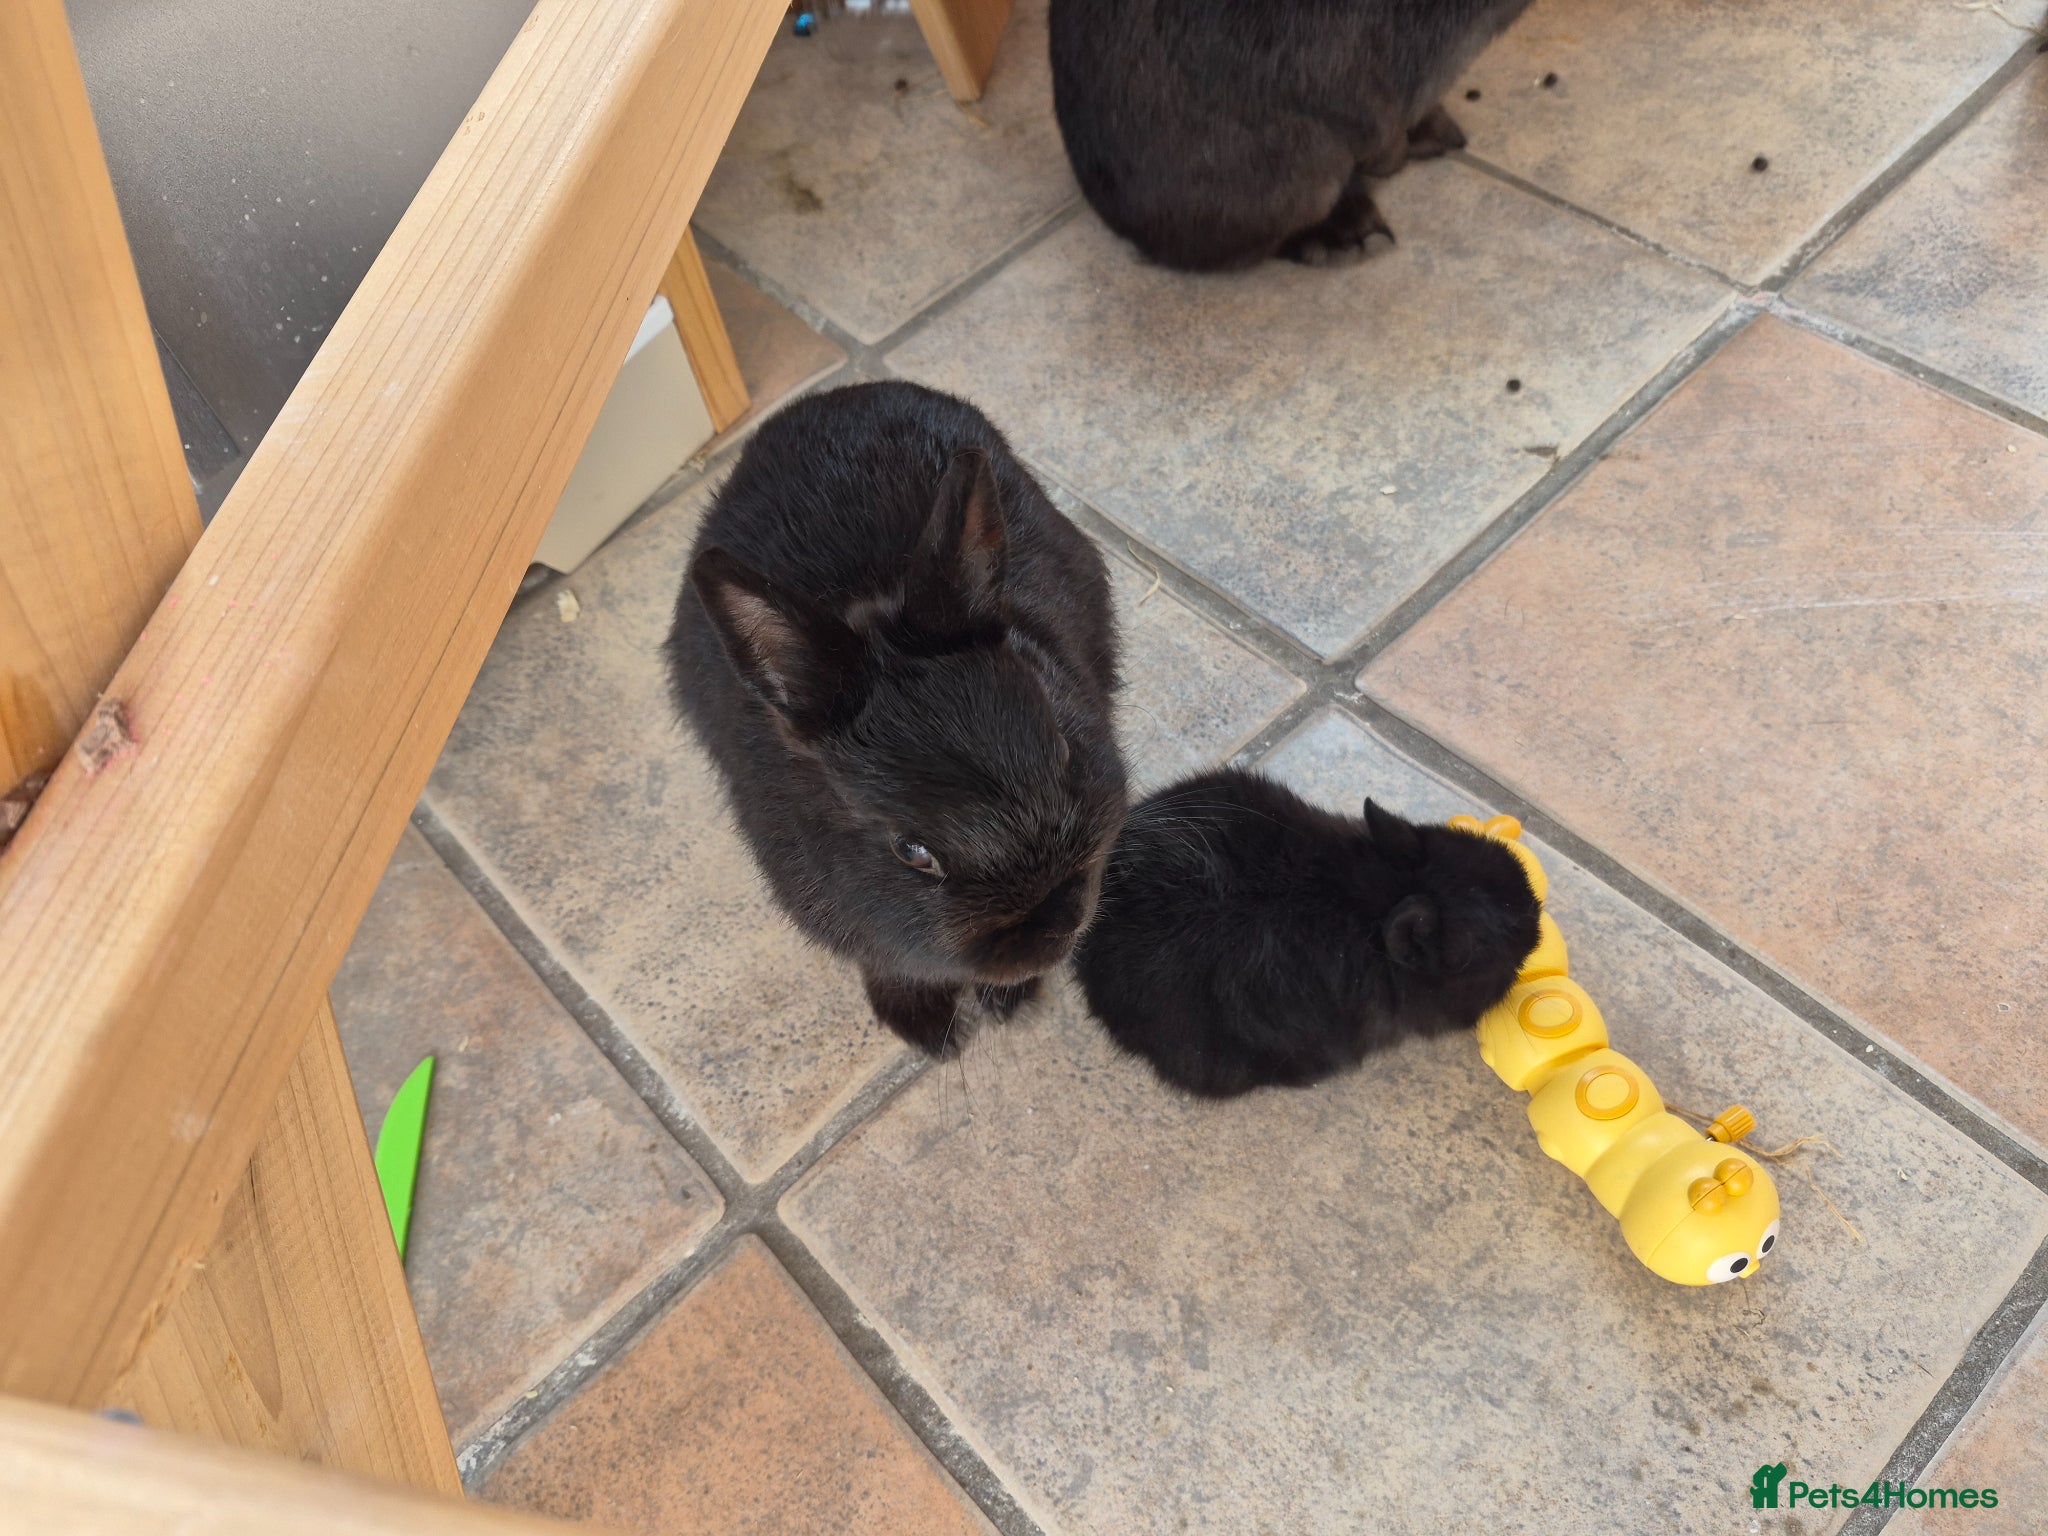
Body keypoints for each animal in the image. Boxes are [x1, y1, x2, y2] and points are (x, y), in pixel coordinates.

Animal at [665, 382, 1129, 1057]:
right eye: (912, 851)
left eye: (1065, 753)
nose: (1054, 933)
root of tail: (842, 394)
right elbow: (890, 965)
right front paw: (930, 1032)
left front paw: (1006, 1001)